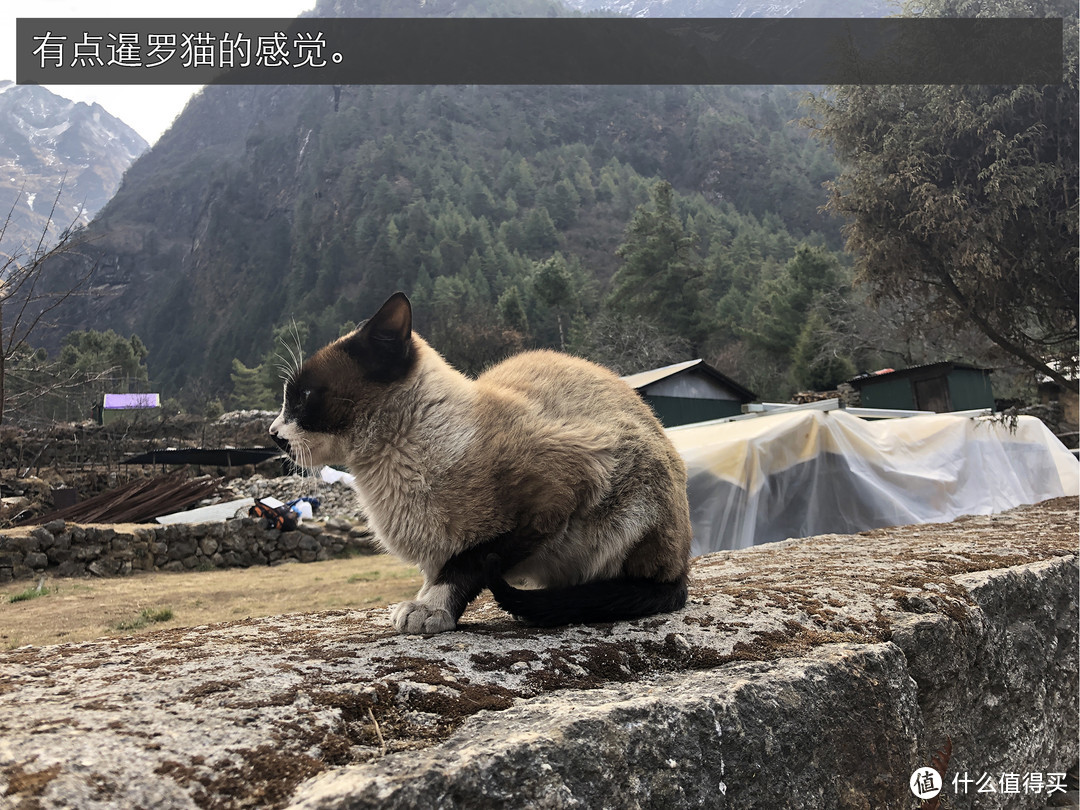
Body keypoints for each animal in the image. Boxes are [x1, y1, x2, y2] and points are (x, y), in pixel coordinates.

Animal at [270, 291, 691, 635]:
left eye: (303, 397)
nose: (274, 433)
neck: (388, 469)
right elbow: (439, 571)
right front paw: (425, 602)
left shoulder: (557, 497)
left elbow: (467, 563)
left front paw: (430, 609)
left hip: (629, 504)